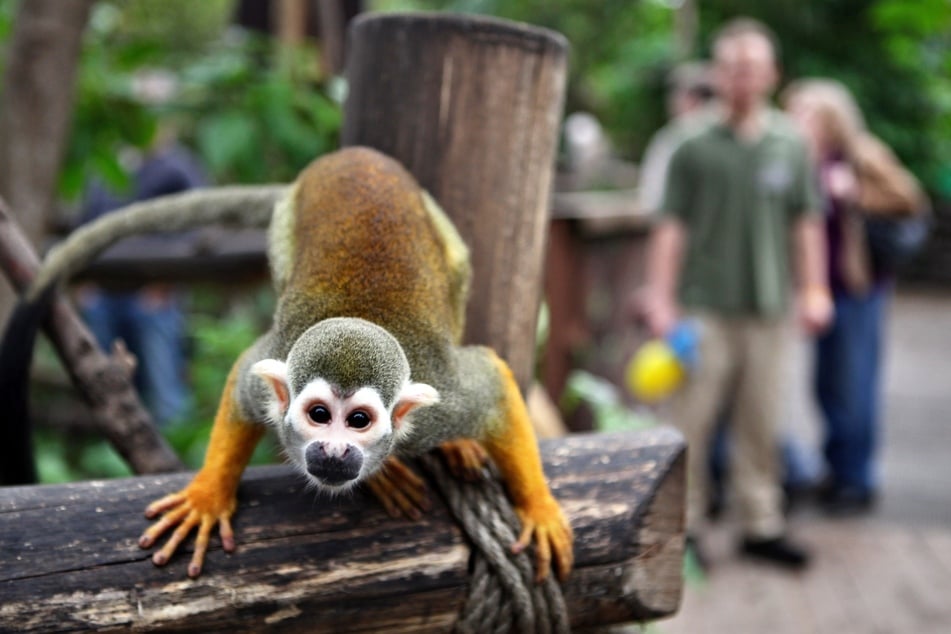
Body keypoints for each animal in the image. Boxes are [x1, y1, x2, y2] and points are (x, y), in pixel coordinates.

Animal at [9, 146, 572, 580]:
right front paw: (208, 497)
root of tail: (350, 156)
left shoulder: (446, 401)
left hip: (438, 222)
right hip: (287, 224)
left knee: (456, 275)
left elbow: (493, 382)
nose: (334, 450)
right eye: (319, 415)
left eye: (359, 421)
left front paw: (540, 510)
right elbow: (244, 376)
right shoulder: (271, 368)